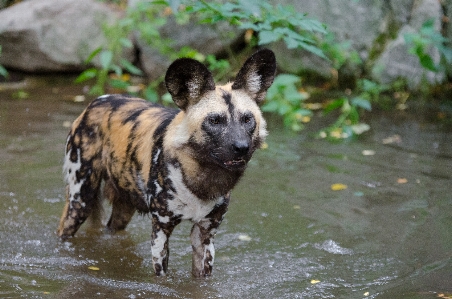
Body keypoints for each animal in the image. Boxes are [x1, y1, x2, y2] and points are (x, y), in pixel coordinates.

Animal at [56, 48, 276, 276]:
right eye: (215, 121)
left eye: (247, 119)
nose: (242, 147)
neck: (200, 179)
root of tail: (97, 101)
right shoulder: (161, 230)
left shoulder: (205, 234)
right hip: (80, 200)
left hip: (123, 207)